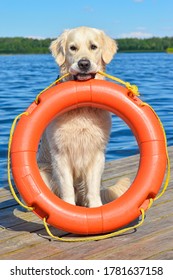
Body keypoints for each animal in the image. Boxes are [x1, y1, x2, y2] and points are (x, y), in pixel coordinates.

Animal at [37, 27, 130, 207]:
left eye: (93, 47)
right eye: (73, 48)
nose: (84, 64)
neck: (81, 109)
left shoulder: (96, 154)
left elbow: (93, 190)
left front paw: (96, 208)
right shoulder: (60, 155)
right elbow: (67, 190)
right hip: (44, 171)